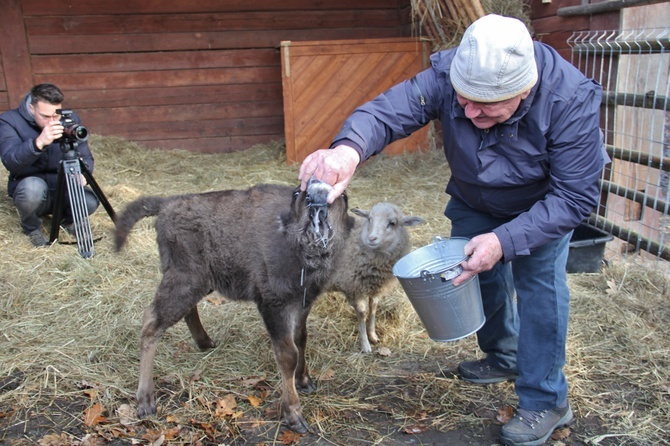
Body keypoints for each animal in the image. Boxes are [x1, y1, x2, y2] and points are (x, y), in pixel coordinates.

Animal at [115, 179, 354, 434]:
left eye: (344, 196)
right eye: (298, 193)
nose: (316, 187)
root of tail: (167, 204)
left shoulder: (302, 304)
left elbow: (301, 339)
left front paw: (304, 380)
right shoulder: (273, 304)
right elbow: (287, 354)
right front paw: (294, 414)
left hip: (201, 281)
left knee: (183, 311)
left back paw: (205, 342)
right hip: (186, 278)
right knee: (151, 320)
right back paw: (145, 401)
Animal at [330, 202, 426, 352]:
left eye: (392, 223)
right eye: (369, 219)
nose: (372, 238)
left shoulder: (376, 288)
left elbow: (373, 309)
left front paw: (373, 335)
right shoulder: (353, 288)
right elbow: (362, 313)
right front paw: (365, 344)